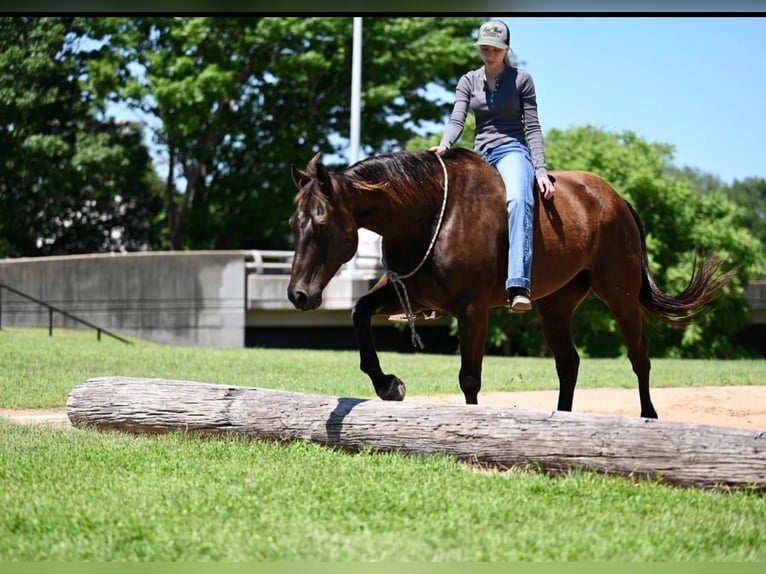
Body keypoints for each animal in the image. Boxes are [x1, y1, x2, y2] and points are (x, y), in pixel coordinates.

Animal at [286, 148, 732, 418]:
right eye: (294, 223)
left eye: (322, 224)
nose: (298, 294)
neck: (430, 213)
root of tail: (617, 200)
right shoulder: (412, 295)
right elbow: (360, 313)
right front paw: (388, 384)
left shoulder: (471, 309)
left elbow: (469, 376)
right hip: (554, 307)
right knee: (568, 363)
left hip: (619, 295)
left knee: (639, 355)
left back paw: (648, 416)